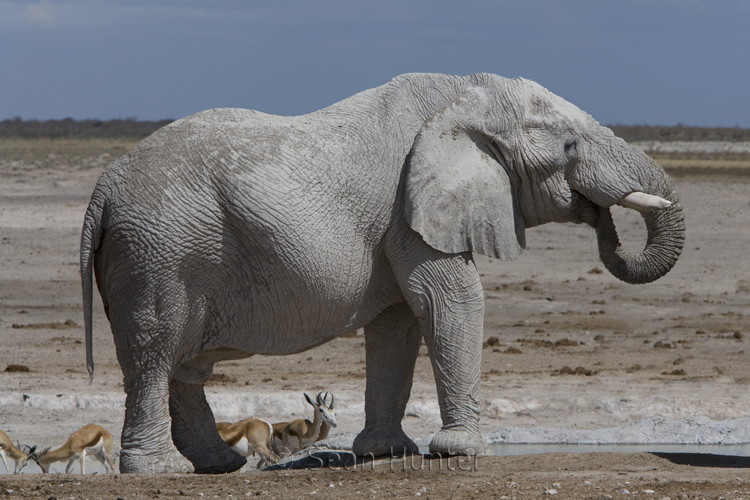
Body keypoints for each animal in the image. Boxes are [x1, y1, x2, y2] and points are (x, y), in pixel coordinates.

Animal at [80, 72, 685, 474]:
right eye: (569, 145)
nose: (601, 218)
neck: (465, 93)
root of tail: (102, 189)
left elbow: (399, 321)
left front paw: (386, 453)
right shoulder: (410, 210)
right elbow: (451, 300)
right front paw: (463, 452)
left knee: (184, 366)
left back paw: (218, 466)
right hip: (160, 254)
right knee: (156, 354)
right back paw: (160, 472)